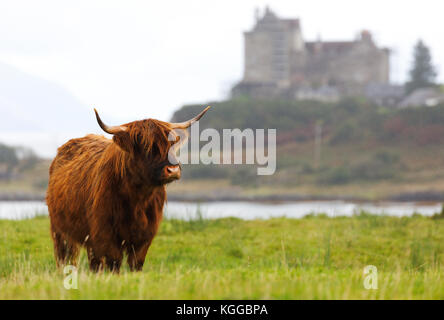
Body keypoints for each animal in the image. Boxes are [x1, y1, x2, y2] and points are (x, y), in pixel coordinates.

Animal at [46, 106, 212, 272]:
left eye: (171, 144)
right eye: (146, 146)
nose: (173, 170)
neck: (138, 199)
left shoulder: (145, 236)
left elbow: (136, 263)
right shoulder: (105, 234)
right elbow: (114, 263)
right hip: (59, 230)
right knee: (65, 257)